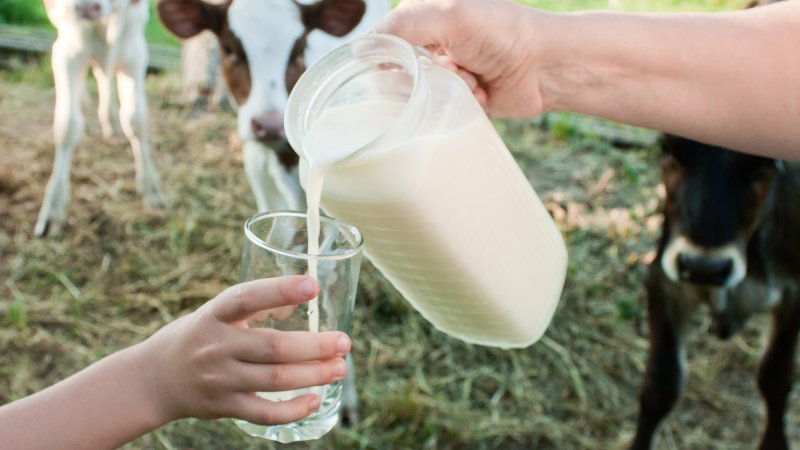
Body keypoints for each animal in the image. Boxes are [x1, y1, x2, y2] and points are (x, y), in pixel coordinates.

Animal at [39, 0, 169, 237]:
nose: (86, 8)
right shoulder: (66, 51)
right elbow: (68, 124)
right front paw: (53, 207)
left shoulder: (134, 49)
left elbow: (135, 119)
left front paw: (152, 190)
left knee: (104, 75)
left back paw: (112, 126)